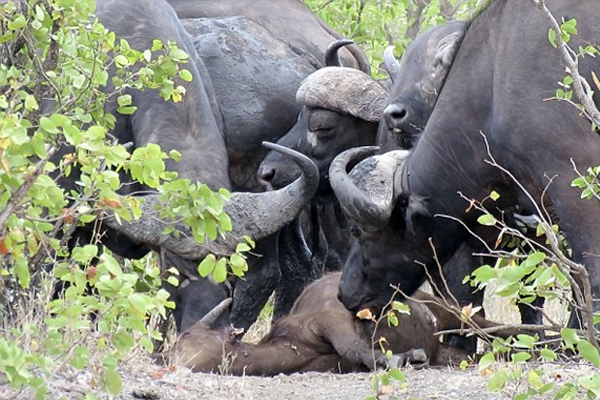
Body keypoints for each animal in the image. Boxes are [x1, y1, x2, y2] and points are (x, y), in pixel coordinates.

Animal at [156, 272, 516, 376]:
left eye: (186, 335)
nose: (167, 357)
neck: (292, 344)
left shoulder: (329, 320)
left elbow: (352, 345)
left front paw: (399, 358)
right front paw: (407, 357)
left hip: (444, 307)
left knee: (490, 326)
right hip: (446, 348)